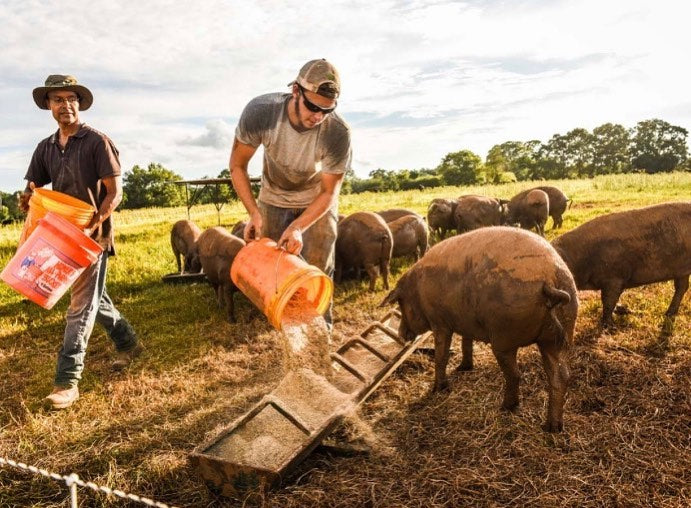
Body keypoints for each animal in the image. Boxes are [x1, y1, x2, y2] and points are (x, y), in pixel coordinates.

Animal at [382, 228, 580, 430]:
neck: (418, 291)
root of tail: (549, 280)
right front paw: (463, 368)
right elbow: (466, 343)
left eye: (401, 304)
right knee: (560, 376)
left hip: (504, 337)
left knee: (515, 374)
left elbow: (441, 356)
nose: (400, 334)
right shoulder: (464, 322)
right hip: (559, 334)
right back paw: (551, 428)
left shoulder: (440, 323)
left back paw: (506, 408)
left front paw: (437, 389)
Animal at [552, 202, 691, 330]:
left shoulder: (614, 278)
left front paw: (609, 326)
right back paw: (669, 313)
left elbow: (608, 300)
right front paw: (625, 311)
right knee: (682, 288)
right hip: (682, 270)